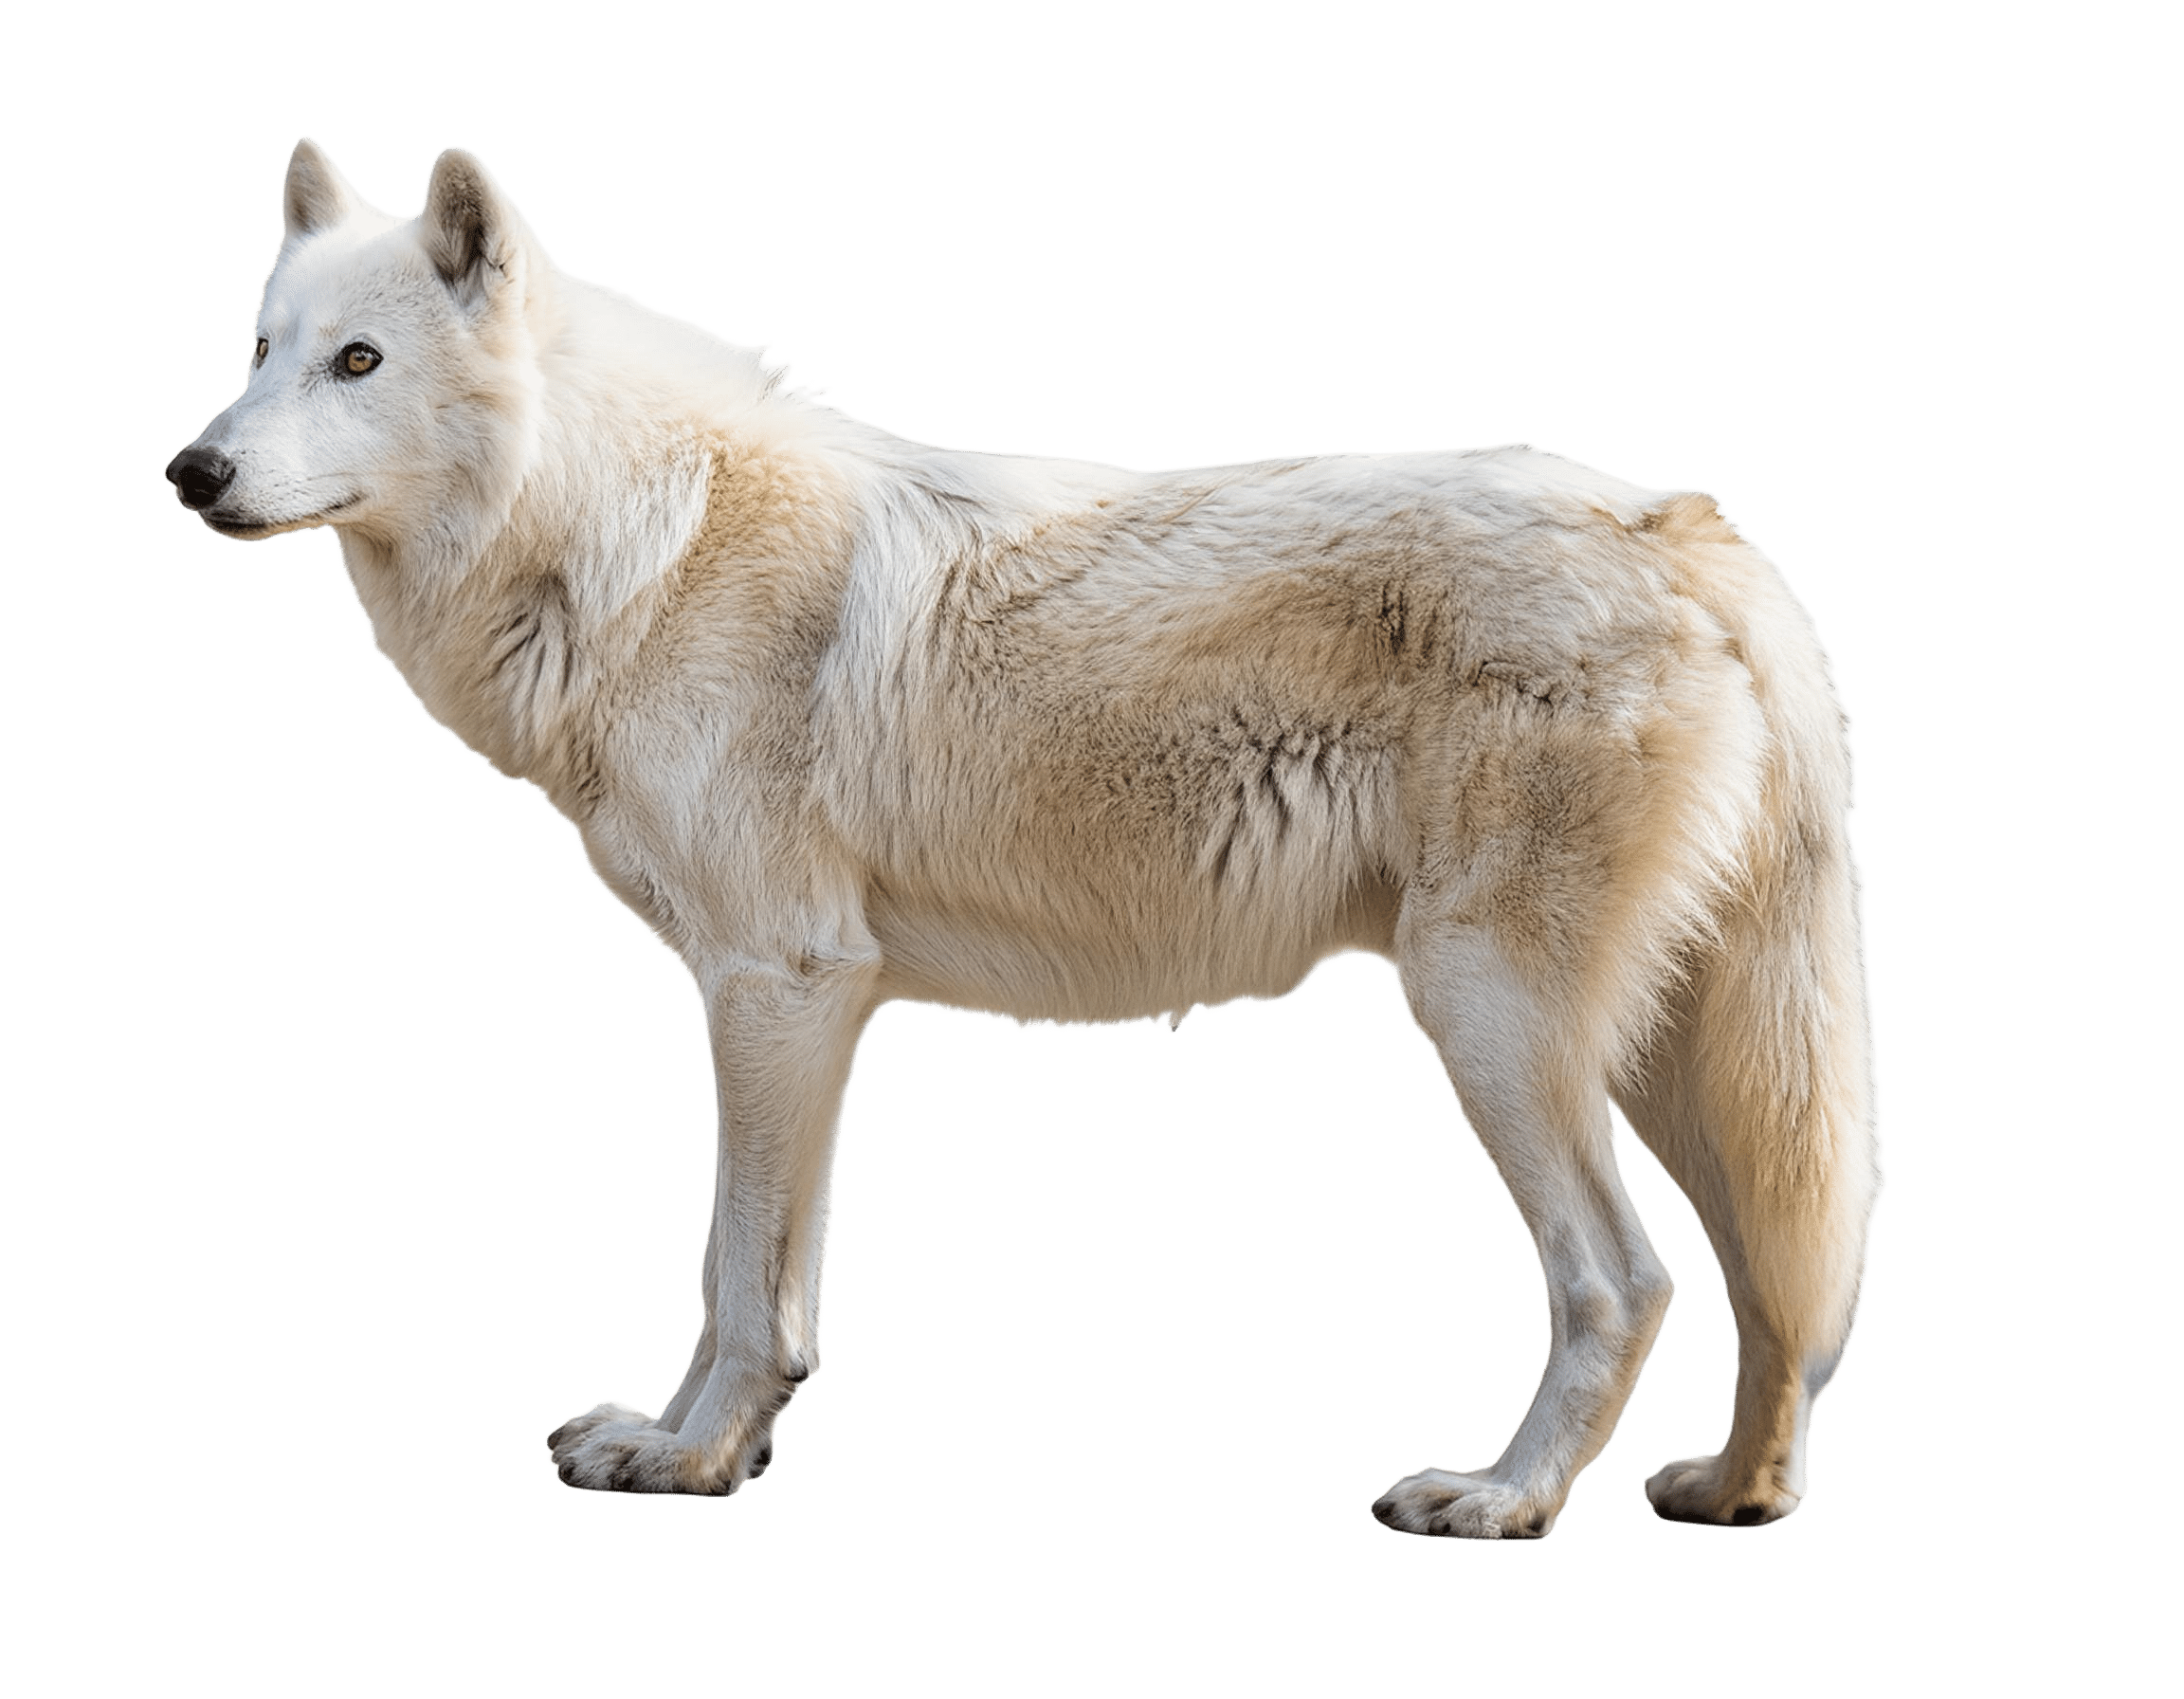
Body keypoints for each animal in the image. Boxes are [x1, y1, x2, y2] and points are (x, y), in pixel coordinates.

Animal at [167, 140, 1880, 1537]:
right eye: (256, 352)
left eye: (358, 360)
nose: (191, 469)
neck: (636, 542)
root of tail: (1681, 526)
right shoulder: (813, 1007)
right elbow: (764, 1279)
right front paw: (710, 1443)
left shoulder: (771, 984)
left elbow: (736, 1274)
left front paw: (687, 1461)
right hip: (1667, 1054)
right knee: (1778, 1274)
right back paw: (1734, 1492)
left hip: (1485, 1018)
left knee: (1625, 1279)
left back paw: (1500, 1496)